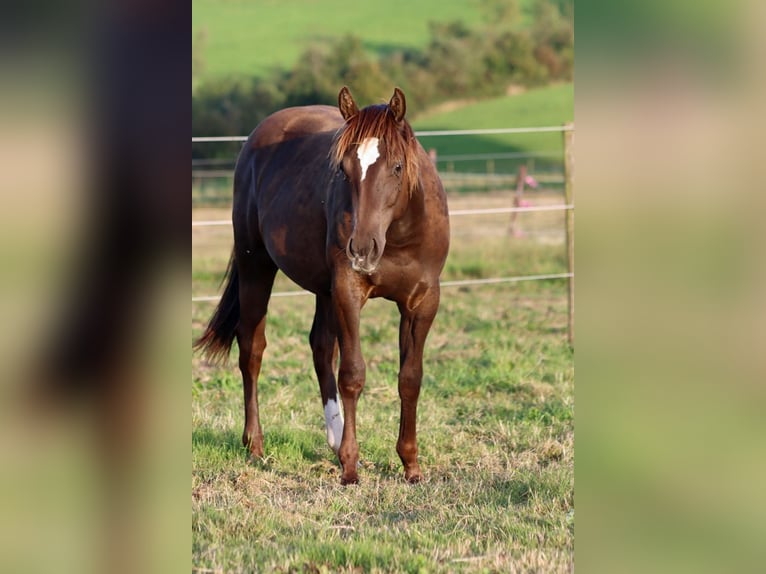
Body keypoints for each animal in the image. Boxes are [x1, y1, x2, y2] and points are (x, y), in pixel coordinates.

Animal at [195, 86, 450, 484]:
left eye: (396, 166)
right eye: (343, 169)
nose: (361, 249)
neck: (399, 234)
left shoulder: (422, 302)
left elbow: (410, 378)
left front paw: (410, 465)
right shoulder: (348, 291)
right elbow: (353, 374)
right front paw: (350, 467)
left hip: (323, 291)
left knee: (320, 348)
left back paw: (333, 437)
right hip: (257, 267)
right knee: (251, 349)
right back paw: (255, 443)